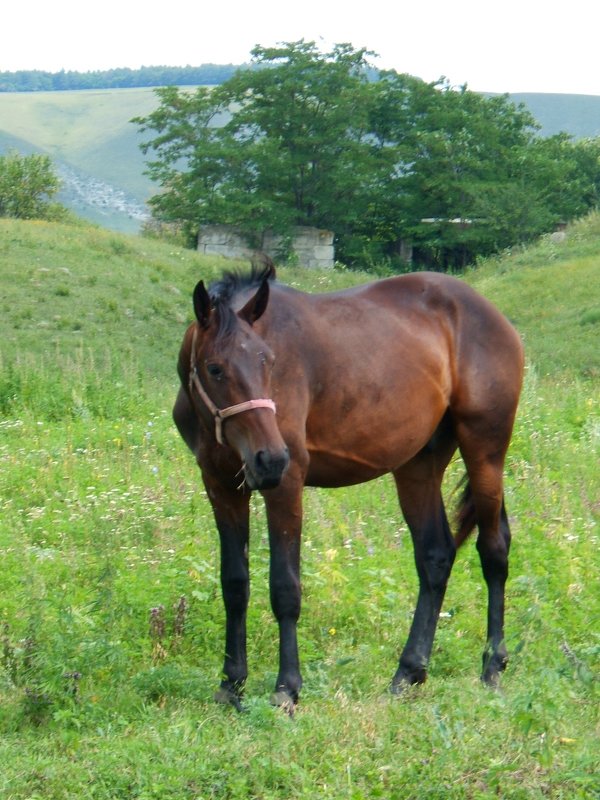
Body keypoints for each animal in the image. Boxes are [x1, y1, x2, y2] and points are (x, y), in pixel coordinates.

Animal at [171, 262, 524, 712]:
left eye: (269, 361)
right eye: (215, 368)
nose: (270, 458)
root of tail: (492, 314)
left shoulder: (285, 486)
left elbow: (285, 587)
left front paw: (287, 688)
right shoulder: (221, 485)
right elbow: (234, 583)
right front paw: (231, 685)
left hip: (485, 449)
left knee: (493, 549)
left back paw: (492, 666)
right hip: (418, 465)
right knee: (435, 555)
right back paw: (408, 672)